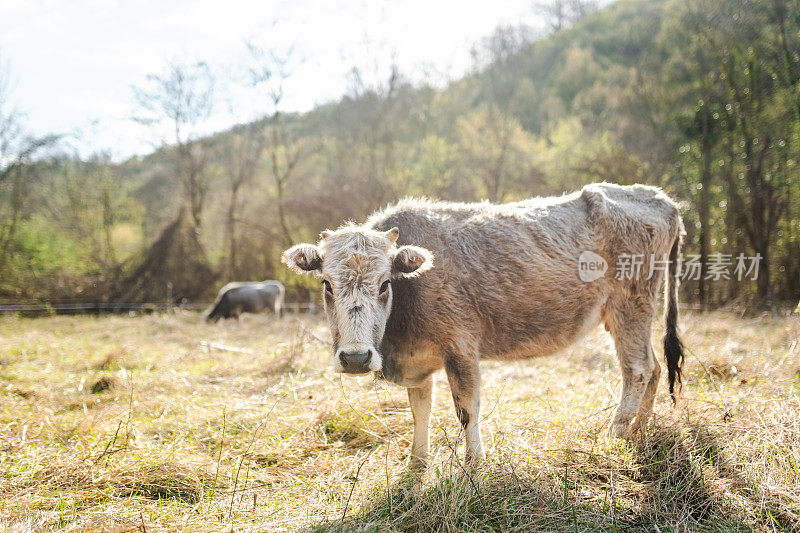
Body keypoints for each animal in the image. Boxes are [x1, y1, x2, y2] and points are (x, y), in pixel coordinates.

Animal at [280, 183, 680, 466]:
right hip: (633, 312)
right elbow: (420, 409)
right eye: (326, 284)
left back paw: (616, 435)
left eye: (384, 284)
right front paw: (416, 463)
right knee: (655, 367)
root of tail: (659, 198)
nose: (356, 359)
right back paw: (640, 430)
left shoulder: (460, 347)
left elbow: (466, 408)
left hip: (630, 304)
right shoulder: (417, 361)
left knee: (637, 369)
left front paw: (473, 464)